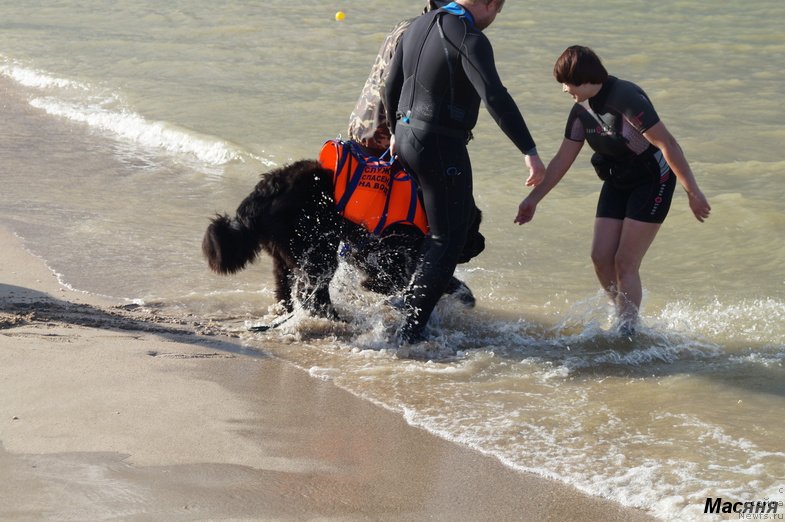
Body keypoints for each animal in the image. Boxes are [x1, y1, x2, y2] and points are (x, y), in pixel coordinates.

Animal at [201, 158, 484, 318]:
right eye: (475, 226)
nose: (482, 244)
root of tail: (264, 191)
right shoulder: (392, 249)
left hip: (285, 253)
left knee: (286, 287)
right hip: (316, 246)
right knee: (311, 292)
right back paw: (335, 317)